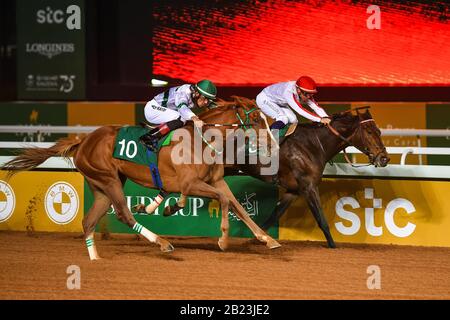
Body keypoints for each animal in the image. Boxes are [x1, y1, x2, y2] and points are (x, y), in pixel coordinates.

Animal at [1, 101, 280, 262]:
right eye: (257, 120)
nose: (273, 144)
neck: (201, 140)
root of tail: (83, 141)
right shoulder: (190, 185)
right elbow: (222, 200)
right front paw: (222, 240)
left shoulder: (216, 180)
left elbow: (237, 205)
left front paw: (268, 240)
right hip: (109, 179)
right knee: (123, 214)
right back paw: (162, 243)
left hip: (101, 186)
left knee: (89, 220)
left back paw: (95, 258)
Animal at [227, 101, 388, 249]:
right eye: (369, 131)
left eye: (379, 131)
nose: (384, 158)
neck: (313, 145)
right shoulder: (309, 186)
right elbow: (321, 219)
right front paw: (332, 245)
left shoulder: (293, 190)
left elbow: (274, 215)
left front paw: (260, 239)